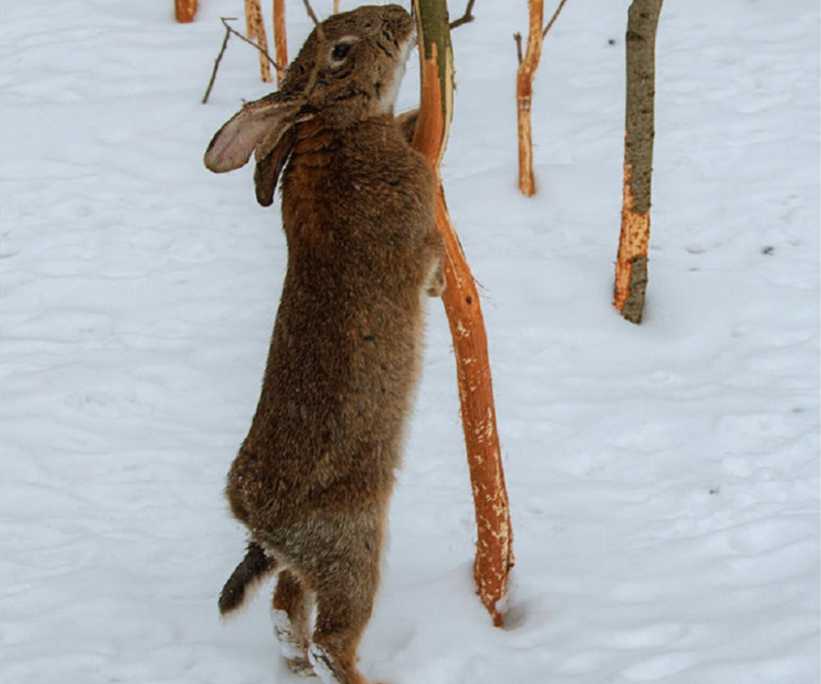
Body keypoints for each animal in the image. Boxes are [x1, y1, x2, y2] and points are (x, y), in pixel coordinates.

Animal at [205, 5, 448, 684]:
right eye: (340, 50)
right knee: (329, 635)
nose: (400, 16)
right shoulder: (418, 224)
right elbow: (431, 258)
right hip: (353, 545)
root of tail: (259, 524)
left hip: (310, 565)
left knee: (286, 612)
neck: (333, 127)